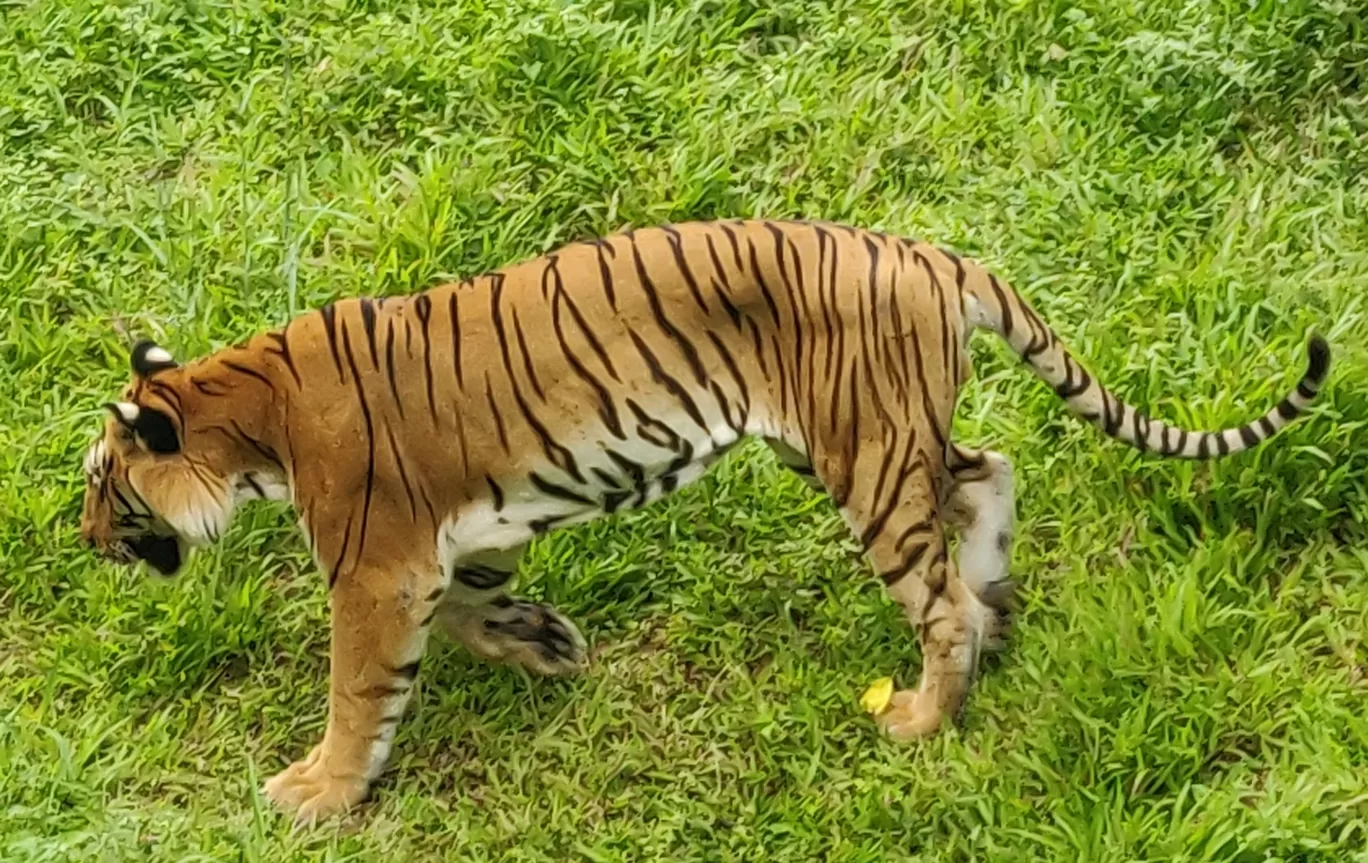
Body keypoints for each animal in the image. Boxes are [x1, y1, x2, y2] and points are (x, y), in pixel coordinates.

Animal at [77, 217, 1324, 826]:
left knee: (939, 600)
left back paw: (925, 714)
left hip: (864, 454)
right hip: (882, 435)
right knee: (989, 473)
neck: (246, 419)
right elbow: (482, 612)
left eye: (100, 483)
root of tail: (927, 250)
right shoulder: (467, 539)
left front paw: (318, 792)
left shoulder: (375, 569)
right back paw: (1003, 601)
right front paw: (551, 644)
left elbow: (356, 693)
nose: (83, 541)